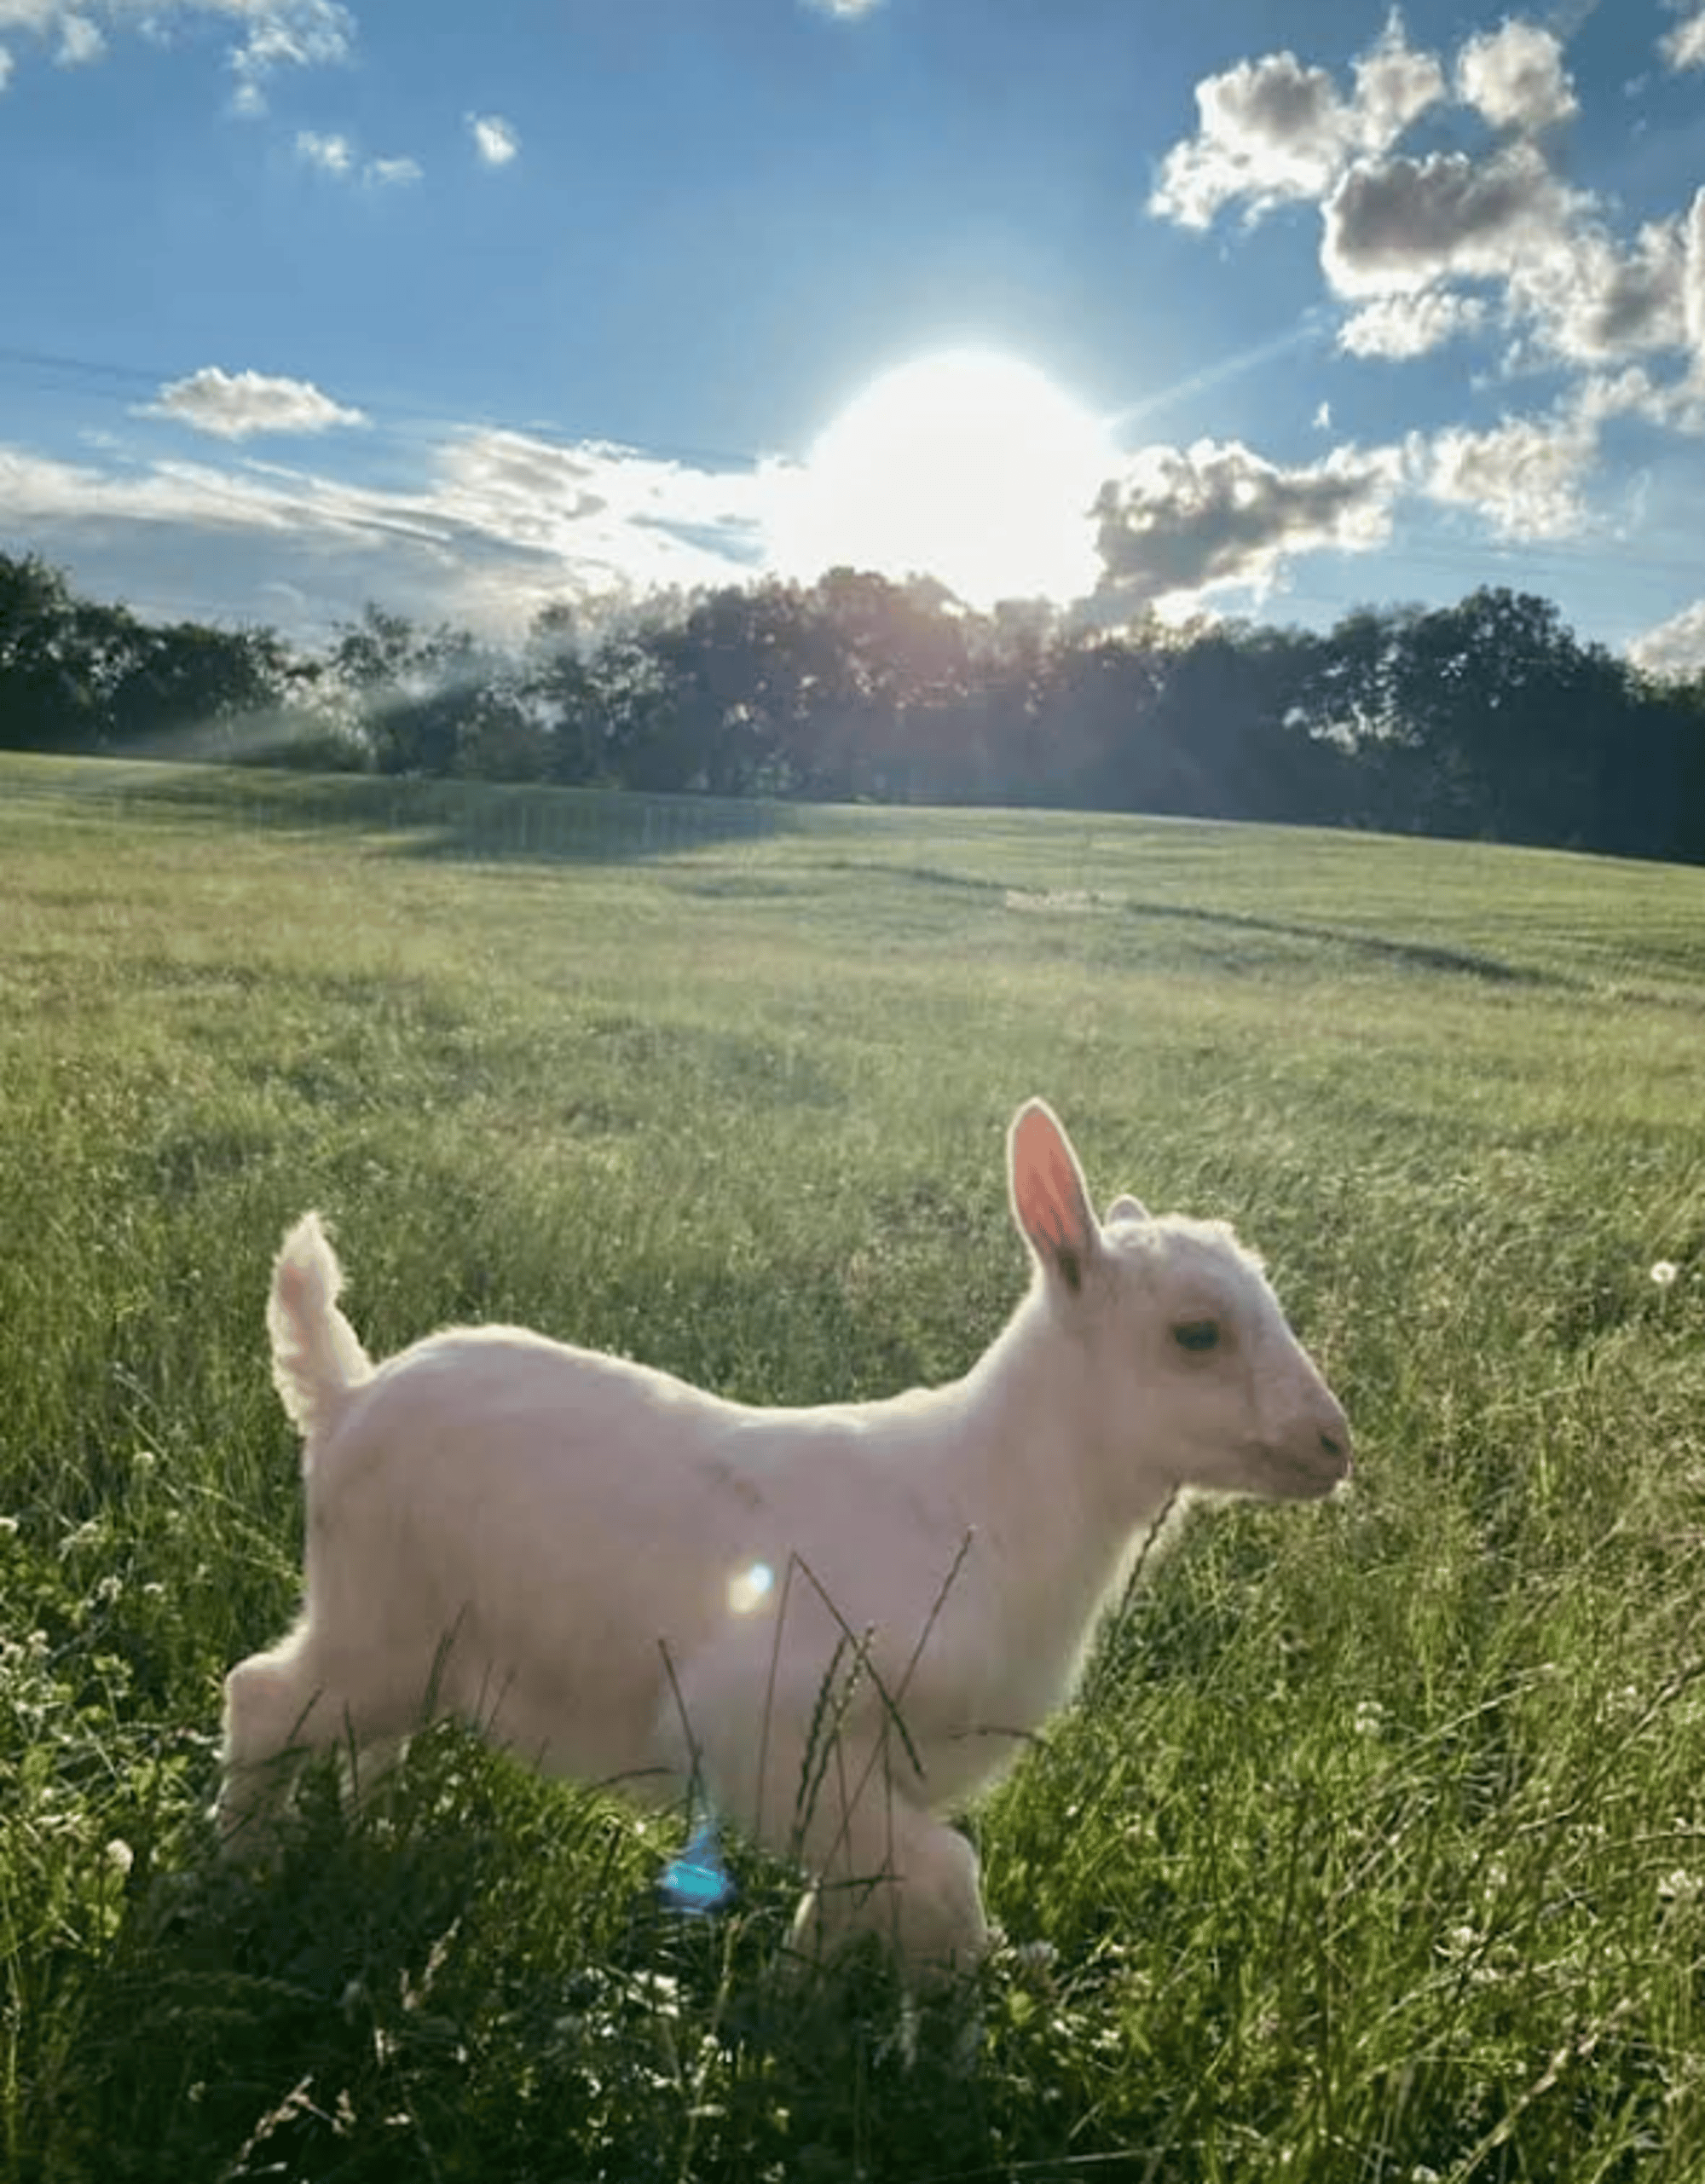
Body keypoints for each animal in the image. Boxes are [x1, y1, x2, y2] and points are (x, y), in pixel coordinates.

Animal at [218, 1099, 1351, 1979]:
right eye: (1195, 1334)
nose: (1333, 1444)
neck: (980, 1508)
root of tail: (346, 1397)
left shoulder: (877, 1773)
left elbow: (853, 1900)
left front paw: (795, 2007)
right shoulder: (759, 1720)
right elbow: (946, 1876)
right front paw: (951, 2025)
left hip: (417, 1641)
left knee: (359, 1738)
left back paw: (365, 1834)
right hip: (379, 1622)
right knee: (261, 1697)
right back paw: (229, 1874)